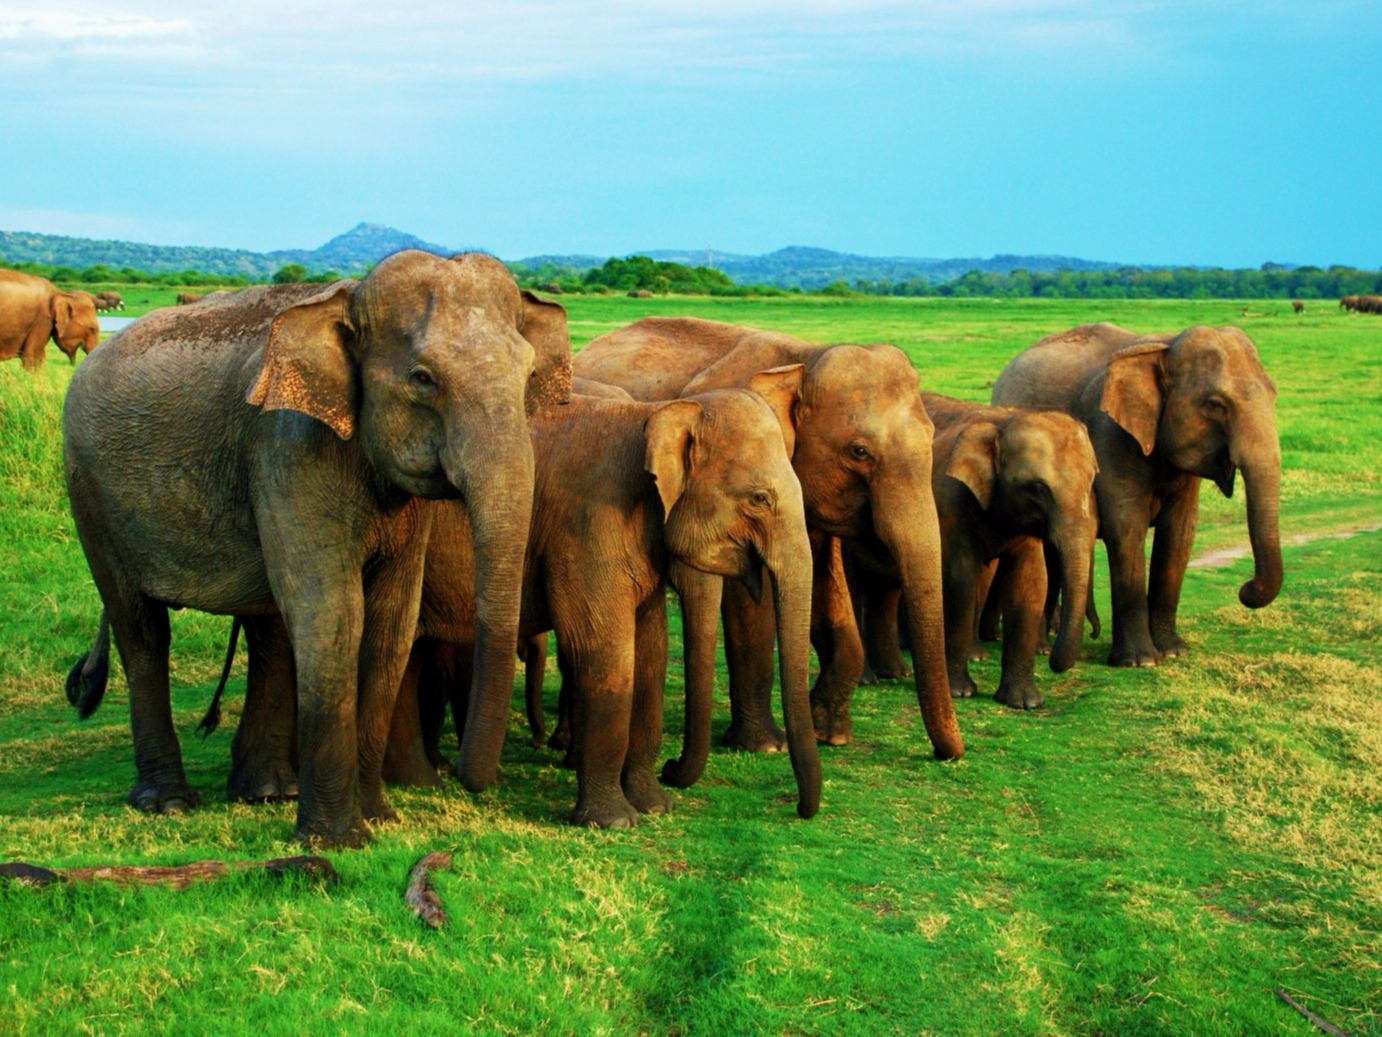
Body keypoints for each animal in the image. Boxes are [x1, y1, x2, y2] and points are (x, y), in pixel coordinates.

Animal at [62, 250, 572, 847]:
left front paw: (378, 818)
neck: (348, 299)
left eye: (529, 376)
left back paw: (265, 792)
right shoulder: (289, 445)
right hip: (90, 494)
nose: (468, 781)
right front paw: (337, 840)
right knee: (141, 629)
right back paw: (167, 803)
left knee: (267, 627)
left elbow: (390, 625)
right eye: (423, 379)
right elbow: (333, 613)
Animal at [574, 317, 965, 763]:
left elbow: (825, 586)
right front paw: (767, 746)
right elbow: (750, 600)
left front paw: (829, 733)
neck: (807, 357)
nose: (948, 755)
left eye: (931, 436)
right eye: (859, 451)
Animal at [850, 394, 1099, 709]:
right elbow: (960, 581)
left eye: (1091, 481)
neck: (1003, 422)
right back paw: (866, 679)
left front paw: (1025, 703)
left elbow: (1029, 583)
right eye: (1037, 489)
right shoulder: (949, 502)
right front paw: (960, 692)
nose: (1054, 661)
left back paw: (895, 674)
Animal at [991, 322, 1282, 667]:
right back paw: (1041, 648)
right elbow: (1127, 528)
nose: (1246, 589)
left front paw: (1173, 651)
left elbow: (1180, 533)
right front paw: (1139, 661)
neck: (1165, 346)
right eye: (1215, 404)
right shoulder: (1111, 434)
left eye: (1274, 394)